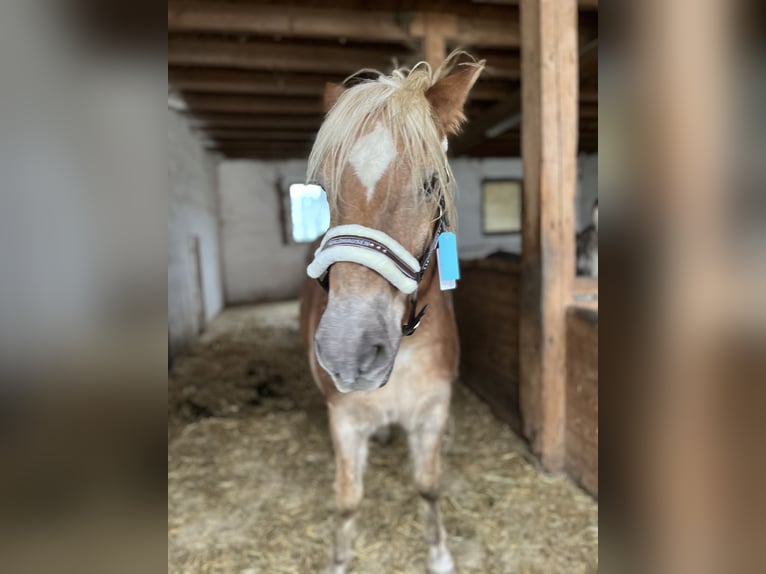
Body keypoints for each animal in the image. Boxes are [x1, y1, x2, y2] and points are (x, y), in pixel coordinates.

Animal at [302, 54, 486, 574]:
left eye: (429, 183)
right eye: (323, 190)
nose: (349, 349)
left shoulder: (431, 414)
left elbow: (428, 487)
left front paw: (440, 555)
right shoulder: (345, 422)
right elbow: (347, 502)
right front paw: (339, 561)